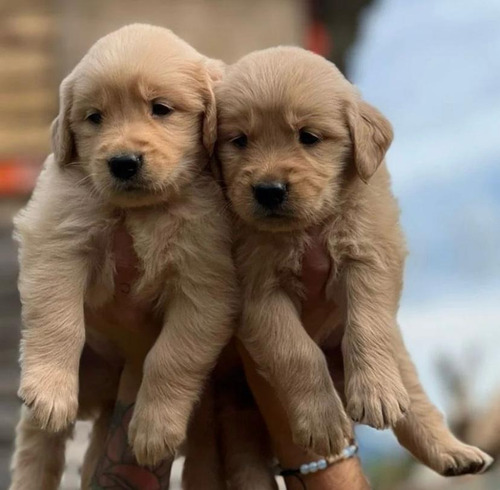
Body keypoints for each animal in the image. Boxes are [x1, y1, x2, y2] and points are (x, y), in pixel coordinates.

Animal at [10, 23, 238, 486]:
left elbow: (173, 356)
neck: (142, 211)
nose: (123, 162)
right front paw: (49, 390)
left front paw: (154, 429)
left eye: (160, 109)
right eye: (95, 117)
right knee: (37, 450)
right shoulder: (59, 238)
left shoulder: (206, 282)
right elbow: (58, 320)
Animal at [214, 47, 492, 476]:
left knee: (416, 403)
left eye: (308, 137)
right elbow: (297, 352)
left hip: (400, 360)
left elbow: (366, 323)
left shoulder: (372, 252)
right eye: (239, 140)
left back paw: (453, 452)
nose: (268, 190)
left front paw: (376, 393)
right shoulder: (257, 289)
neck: (309, 225)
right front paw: (324, 421)